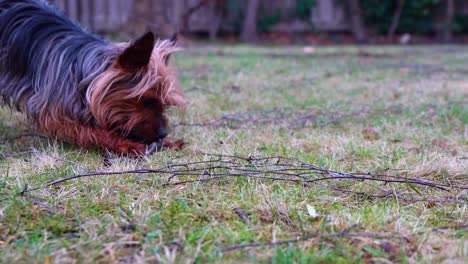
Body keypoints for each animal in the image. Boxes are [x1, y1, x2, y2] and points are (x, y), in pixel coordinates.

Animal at [0, 0, 186, 155]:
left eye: (164, 103)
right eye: (148, 100)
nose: (163, 133)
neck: (80, 70)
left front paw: (169, 143)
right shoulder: (54, 109)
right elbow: (91, 131)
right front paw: (127, 145)